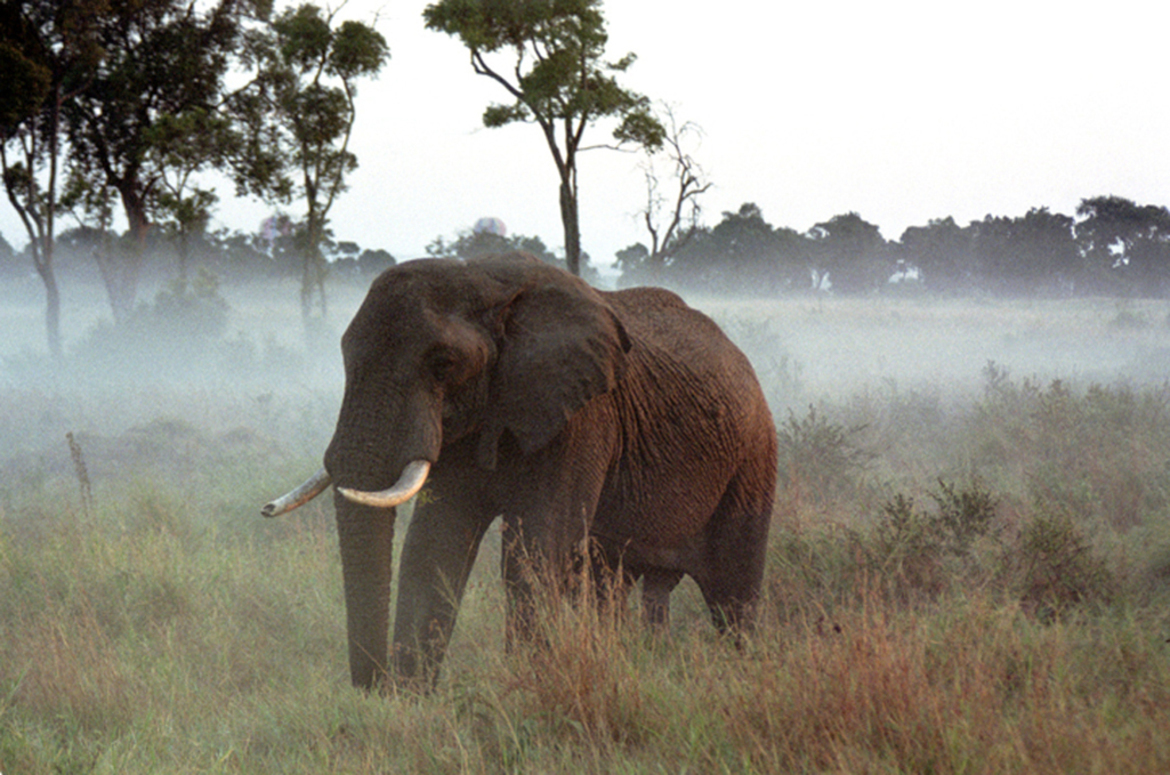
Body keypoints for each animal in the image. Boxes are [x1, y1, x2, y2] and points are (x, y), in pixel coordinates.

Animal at [263, 252, 778, 691]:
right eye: (345, 356)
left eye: (443, 364)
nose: (372, 686)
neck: (486, 279)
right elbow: (434, 545)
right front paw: (410, 704)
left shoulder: (583, 416)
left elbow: (536, 549)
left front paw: (527, 686)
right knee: (617, 585)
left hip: (754, 456)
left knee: (734, 593)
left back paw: (742, 671)